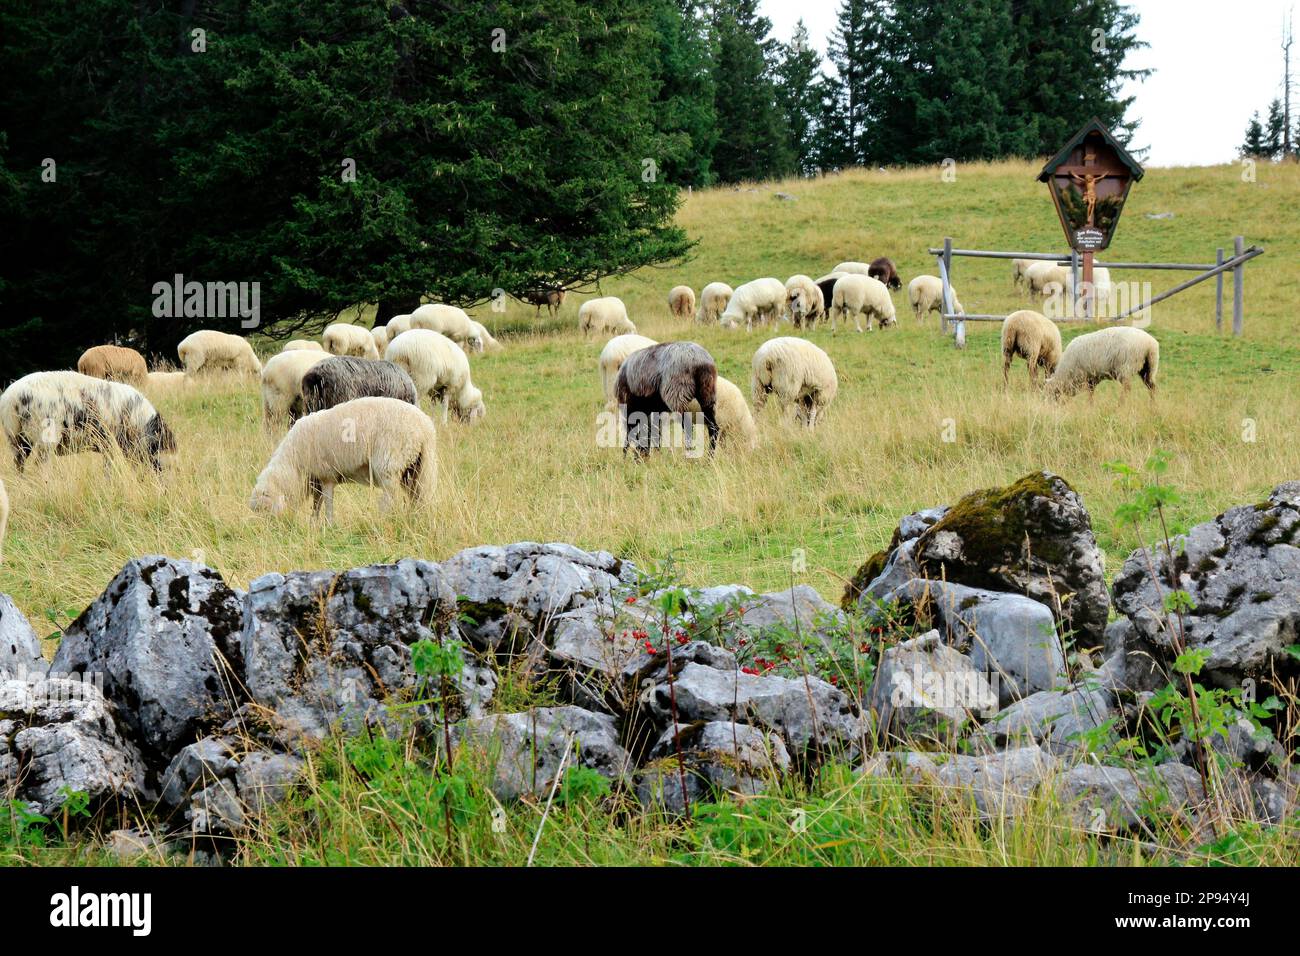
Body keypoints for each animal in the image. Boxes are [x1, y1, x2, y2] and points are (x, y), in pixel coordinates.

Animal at [0, 369, 175, 470]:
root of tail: (12, 399)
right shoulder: (112, 443)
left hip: (15, 438)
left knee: (18, 465)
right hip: (46, 436)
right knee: (40, 466)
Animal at [245, 400, 439, 528]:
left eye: (264, 510)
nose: (268, 531)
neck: (293, 464)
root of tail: (425, 428)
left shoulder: (326, 475)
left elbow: (328, 502)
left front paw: (329, 525)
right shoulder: (316, 480)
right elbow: (317, 503)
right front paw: (313, 523)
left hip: (389, 462)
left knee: (389, 497)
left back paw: (380, 519)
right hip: (414, 467)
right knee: (417, 495)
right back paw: (414, 517)